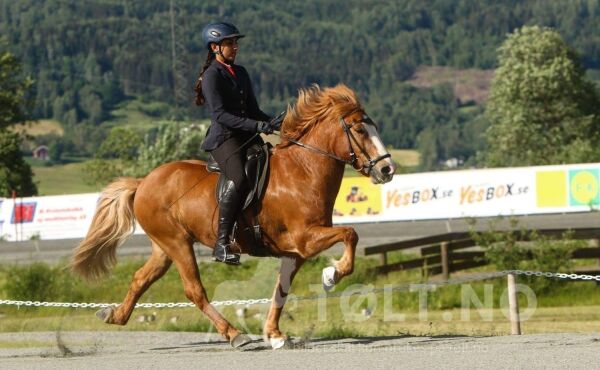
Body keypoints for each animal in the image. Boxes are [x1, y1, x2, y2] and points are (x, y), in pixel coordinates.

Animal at [70, 84, 396, 350]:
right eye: (359, 130)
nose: (387, 170)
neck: (303, 171)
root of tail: (143, 182)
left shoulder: (295, 252)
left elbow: (281, 291)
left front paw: (275, 335)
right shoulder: (305, 238)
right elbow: (351, 233)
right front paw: (331, 275)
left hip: (164, 246)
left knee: (141, 278)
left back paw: (114, 315)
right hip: (177, 243)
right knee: (194, 291)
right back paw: (235, 334)